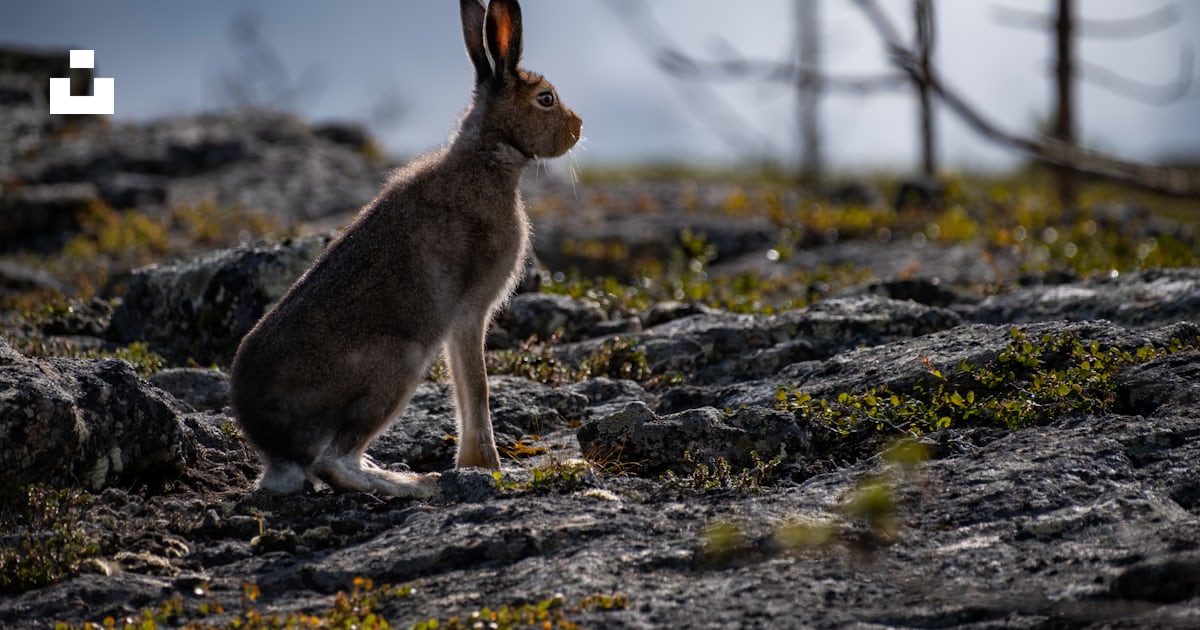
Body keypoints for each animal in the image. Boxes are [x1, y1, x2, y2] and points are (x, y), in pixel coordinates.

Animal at [229, 0, 582, 497]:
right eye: (546, 98)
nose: (578, 126)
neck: (487, 157)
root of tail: (276, 454)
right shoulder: (470, 311)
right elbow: (478, 387)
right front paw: (491, 468)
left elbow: (464, 387)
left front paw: (472, 464)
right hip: (398, 365)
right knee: (334, 463)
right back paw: (414, 484)